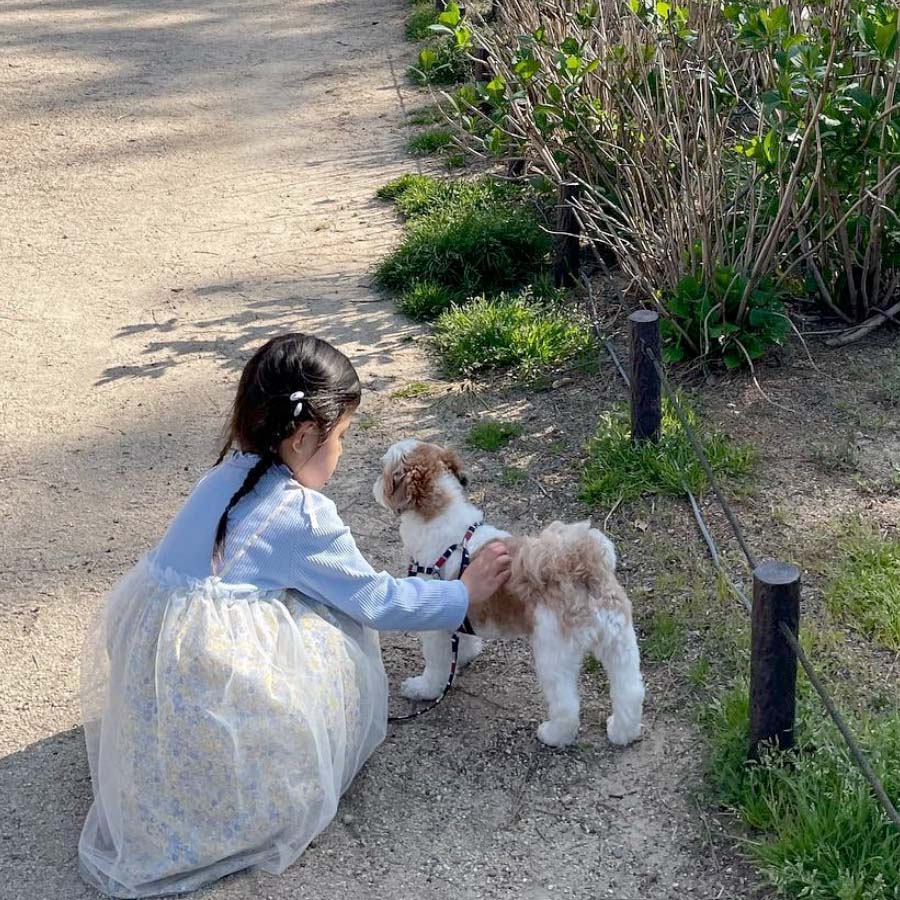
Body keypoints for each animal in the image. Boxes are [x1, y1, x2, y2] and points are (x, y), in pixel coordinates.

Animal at [374, 440, 648, 748]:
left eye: (383, 470)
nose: (377, 484)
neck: (439, 514)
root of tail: (577, 562)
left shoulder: (436, 624)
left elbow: (435, 665)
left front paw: (423, 688)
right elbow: (463, 640)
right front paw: (465, 656)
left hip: (554, 654)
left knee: (567, 706)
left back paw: (554, 735)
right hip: (619, 643)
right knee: (630, 691)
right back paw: (622, 732)